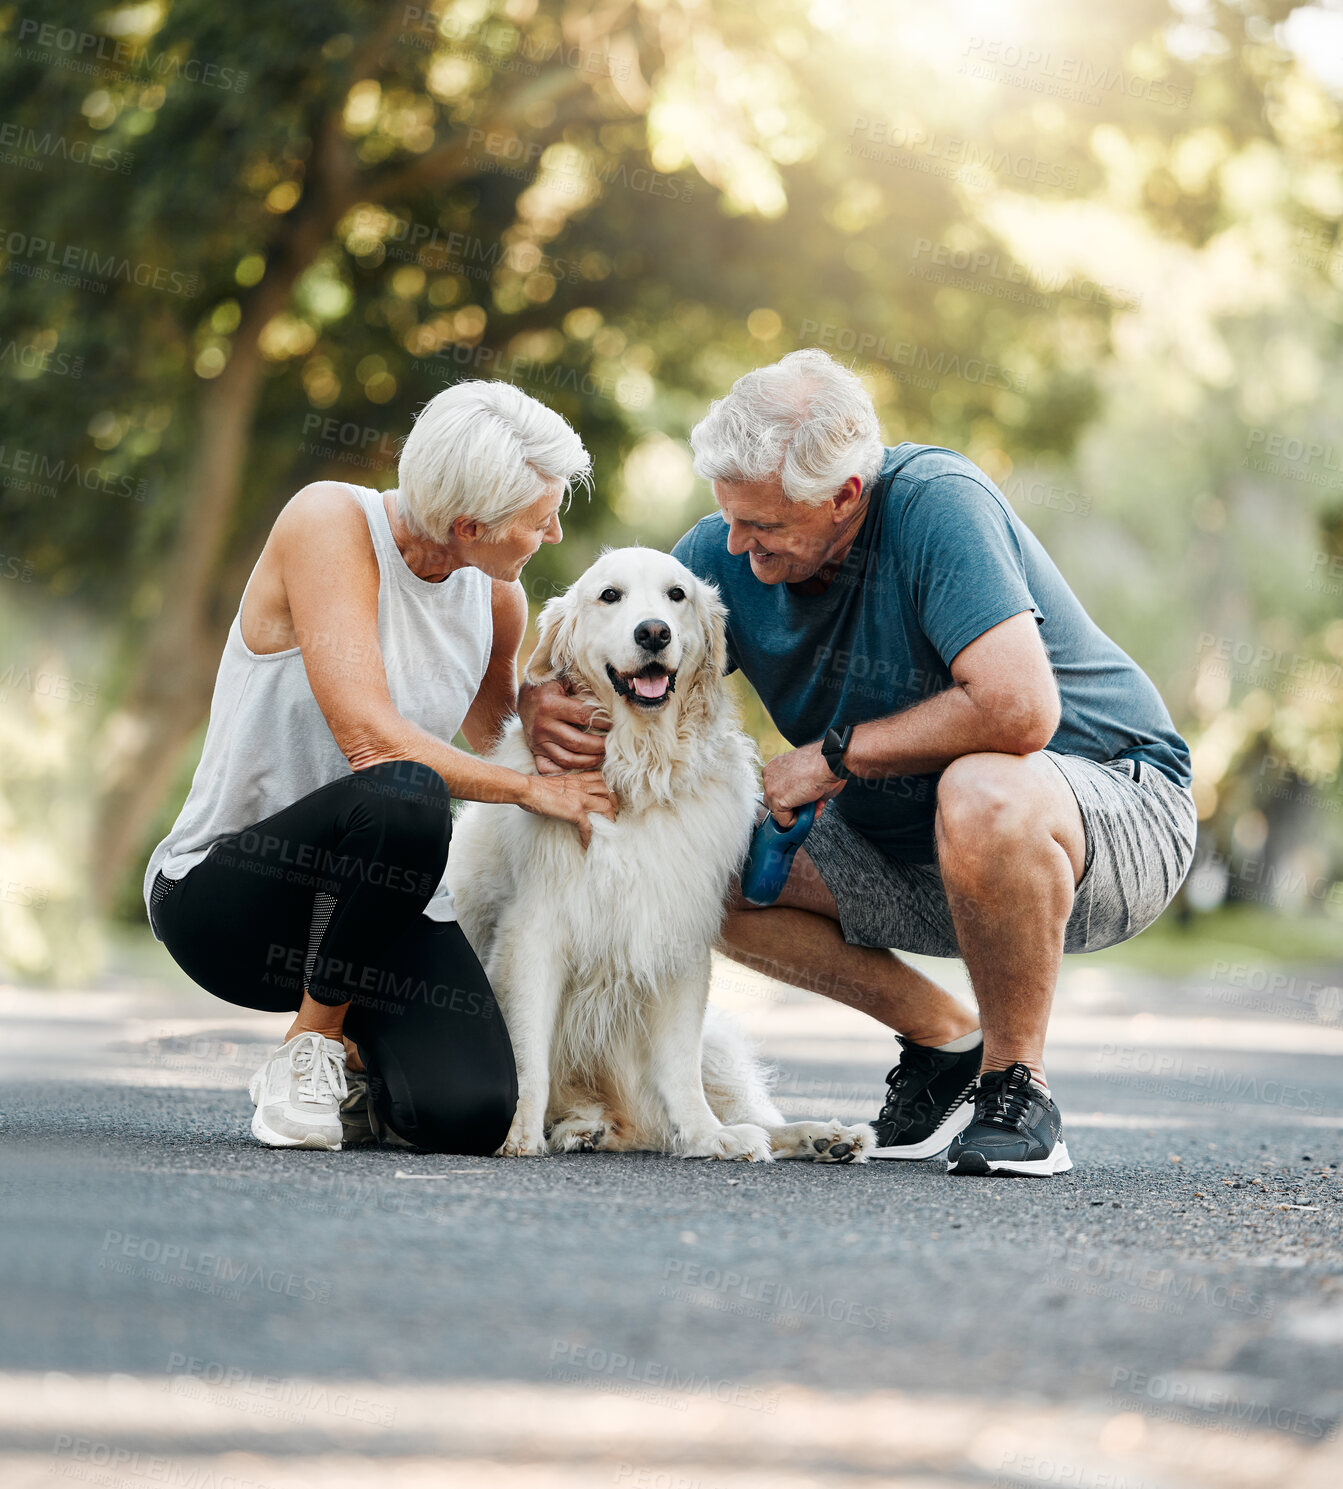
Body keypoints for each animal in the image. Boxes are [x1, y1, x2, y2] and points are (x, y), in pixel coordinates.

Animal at [446, 547, 875, 1161]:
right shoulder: (533, 934)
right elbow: (528, 1055)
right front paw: (516, 1133)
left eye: (677, 595)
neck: (641, 771)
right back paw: (580, 1127)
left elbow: (679, 1067)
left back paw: (820, 1135)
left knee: (738, 1113)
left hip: (714, 1045)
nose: (654, 632)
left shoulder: (678, 936)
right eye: (610, 596)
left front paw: (707, 1136)